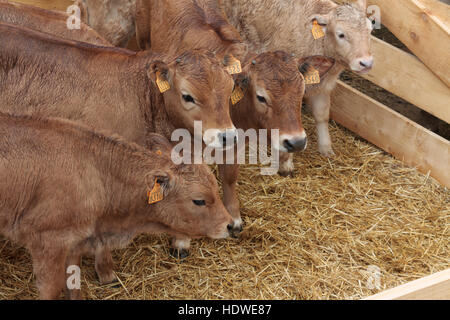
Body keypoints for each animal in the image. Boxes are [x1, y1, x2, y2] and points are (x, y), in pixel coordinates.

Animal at [0, 113, 232, 300]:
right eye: (199, 200)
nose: (230, 225)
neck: (96, 170)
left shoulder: (74, 241)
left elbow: (74, 284)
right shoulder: (48, 242)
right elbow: (52, 290)